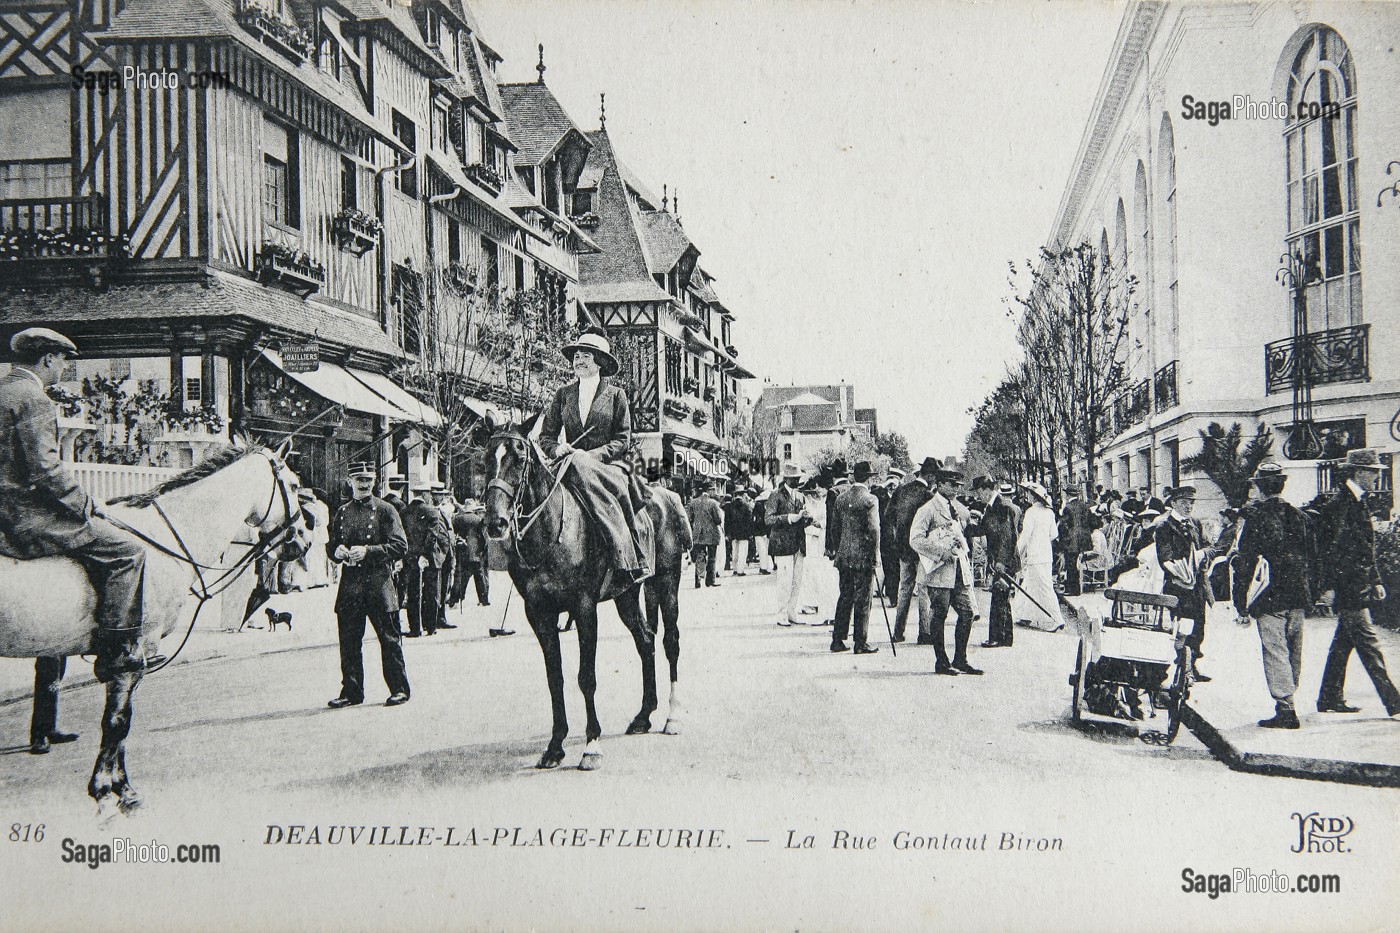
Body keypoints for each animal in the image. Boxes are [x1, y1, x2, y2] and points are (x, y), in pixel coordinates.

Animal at [0, 439, 309, 818]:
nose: (304, 542)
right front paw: (111, 790)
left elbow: (118, 724)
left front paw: (117, 786)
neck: (165, 538)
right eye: (294, 485)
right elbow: (118, 723)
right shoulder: (135, 654)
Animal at [484, 417, 691, 767]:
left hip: (666, 581)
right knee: (645, 640)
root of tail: (668, 496)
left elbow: (586, 676)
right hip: (627, 594)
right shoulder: (538, 613)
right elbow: (555, 678)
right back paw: (643, 716)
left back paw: (672, 717)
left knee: (670, 641)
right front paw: (555, 746)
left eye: (519, 458)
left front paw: (591, 744)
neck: (552, 530)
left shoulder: (583, 608)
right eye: (485, 459)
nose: (495, 523)